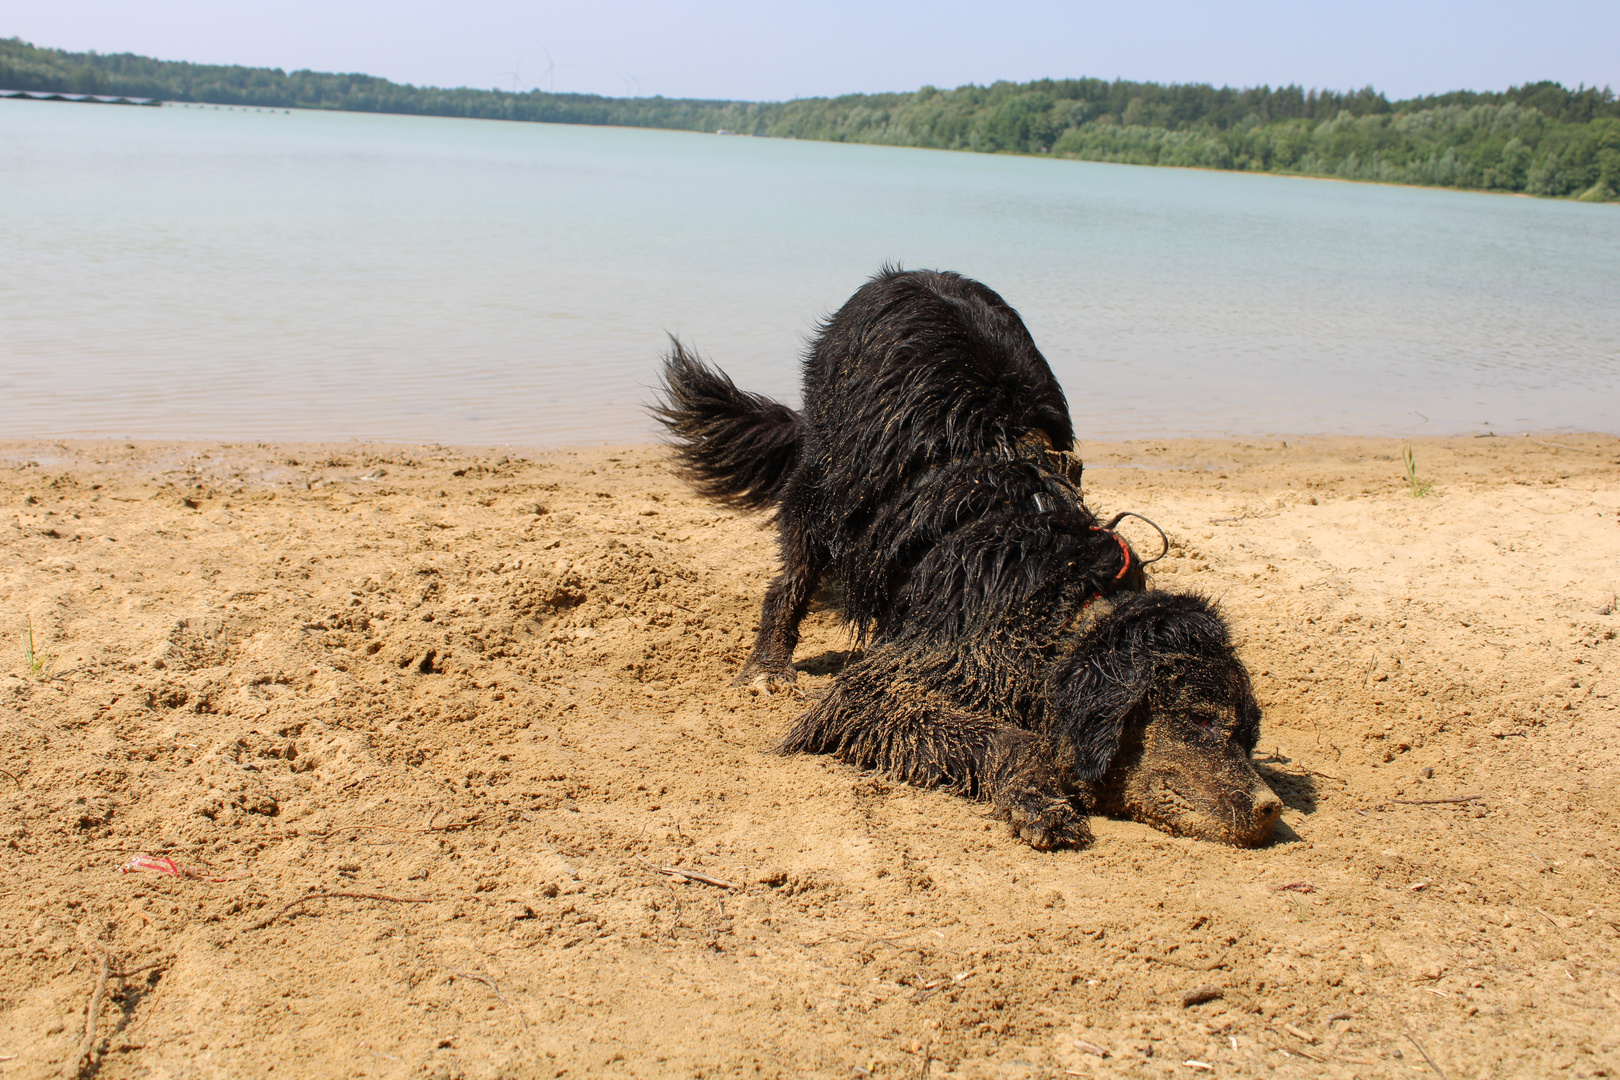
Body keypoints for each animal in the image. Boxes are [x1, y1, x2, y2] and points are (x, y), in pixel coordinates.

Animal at [654, 265, 1276, 848]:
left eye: (1249, 733)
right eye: (1199, 719)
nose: (1268, 808)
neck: (1062, 602)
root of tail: (905, 273)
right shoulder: (881, 688)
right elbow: (1011, 738)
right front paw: (1039, 801)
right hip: (826, 482)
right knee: (793, 574)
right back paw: (768, 667)